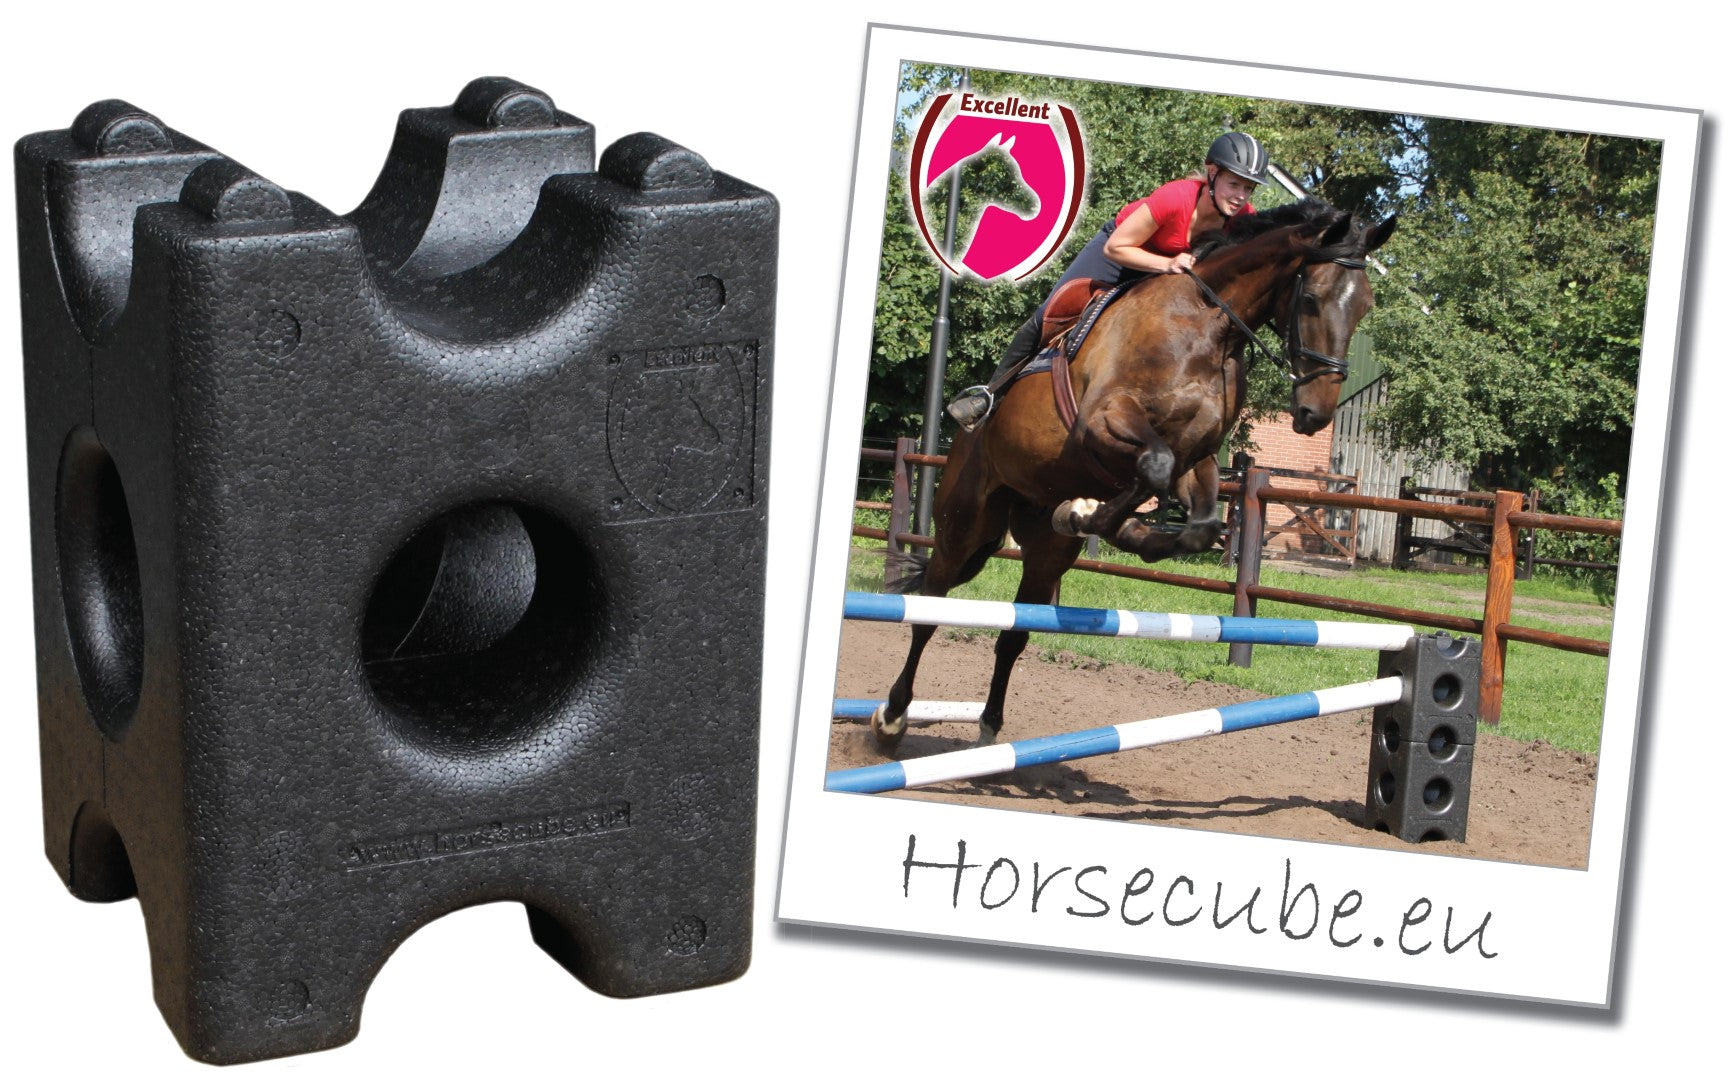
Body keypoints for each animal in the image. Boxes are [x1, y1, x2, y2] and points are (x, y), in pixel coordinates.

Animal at [872, 199, 1397, 749]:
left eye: (1365, 308)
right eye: (1311, 299)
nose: (1316, 414)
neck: (1209, 326)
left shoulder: (1198, 456)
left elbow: (1195, 518)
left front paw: (1105, 522)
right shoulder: (1103, 422)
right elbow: (1153, 468)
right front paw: (1092, 516)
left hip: (1044, 556)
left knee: (1014, 635)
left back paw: (990, 726)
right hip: (963, 523)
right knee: (929, 613)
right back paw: (892, 717)